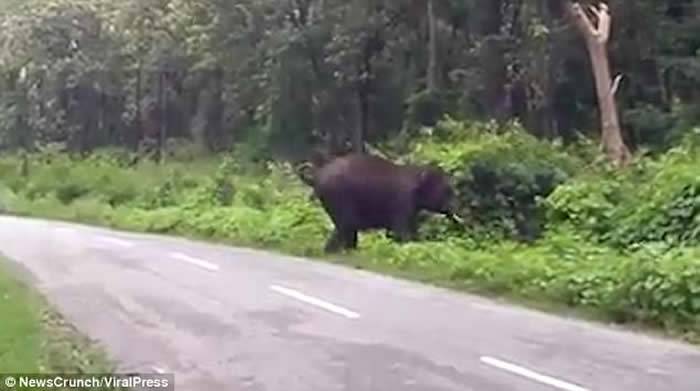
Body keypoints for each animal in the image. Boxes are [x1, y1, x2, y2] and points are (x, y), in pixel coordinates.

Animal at [296, 152, 464, 253]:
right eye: (447, 190)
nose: (456, 208)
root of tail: (318, 174)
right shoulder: (402, 201)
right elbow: (401, 231)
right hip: (339, 198)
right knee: (345, 226)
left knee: (344, 228)